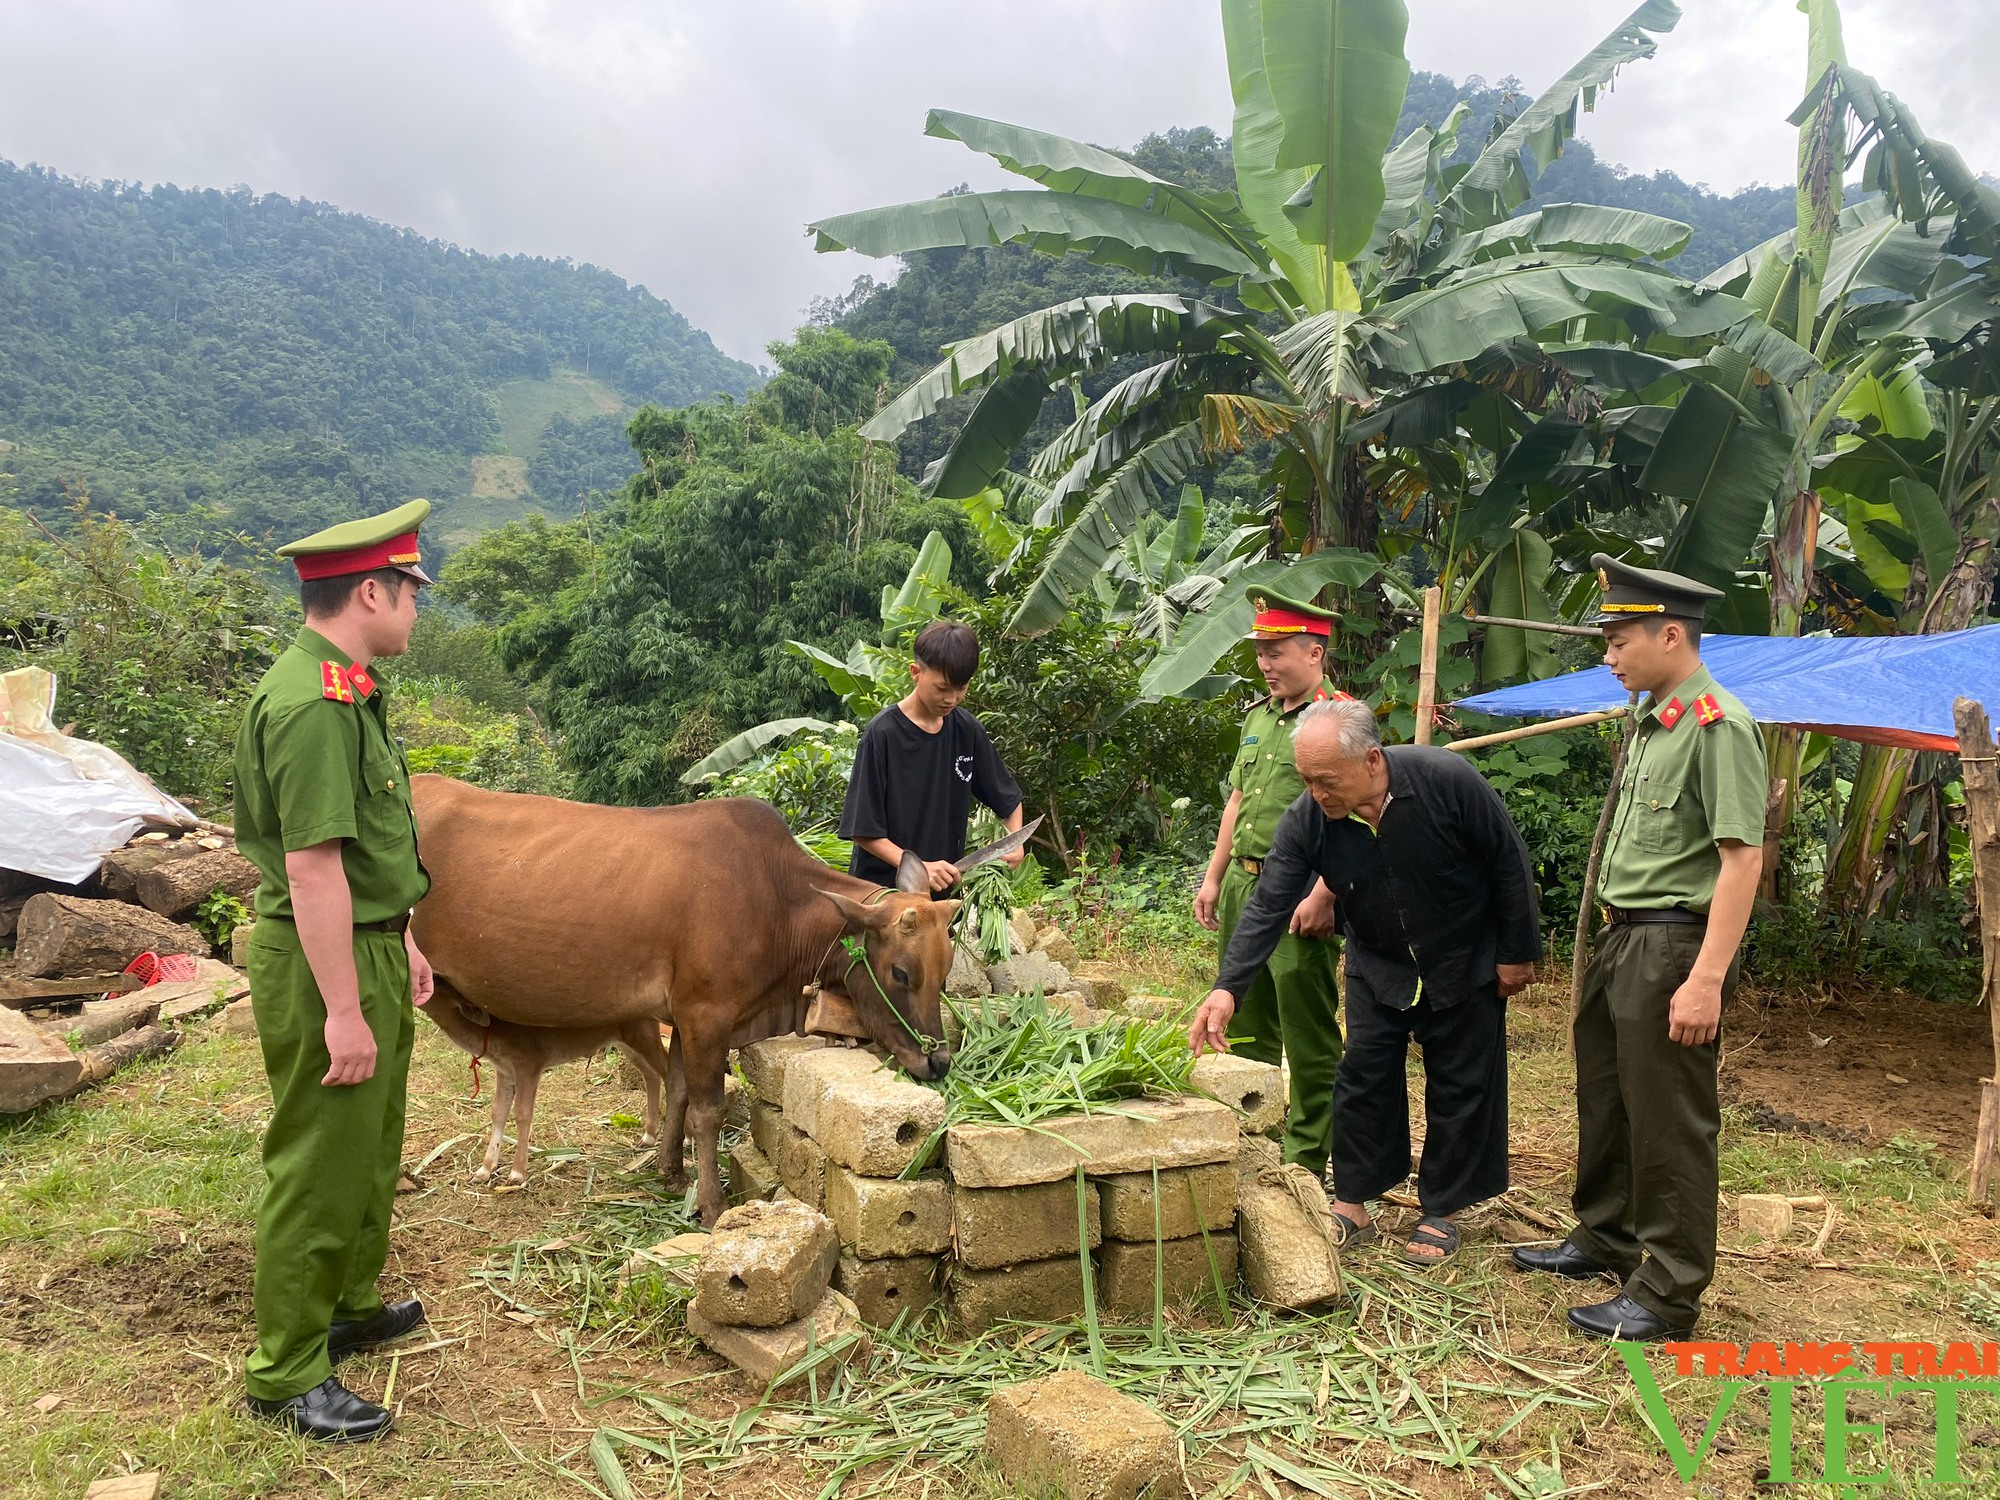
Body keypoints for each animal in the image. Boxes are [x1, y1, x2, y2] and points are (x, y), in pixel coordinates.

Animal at [410, 780, 956, 1224]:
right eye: (901, 972)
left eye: (947, 969)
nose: (938, 1061)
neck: (777, 899)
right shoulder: (706, 1016)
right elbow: (707, 1109)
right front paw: (712, 1204)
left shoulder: (681, 1018)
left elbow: (675, 1091)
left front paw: (670, 1172)